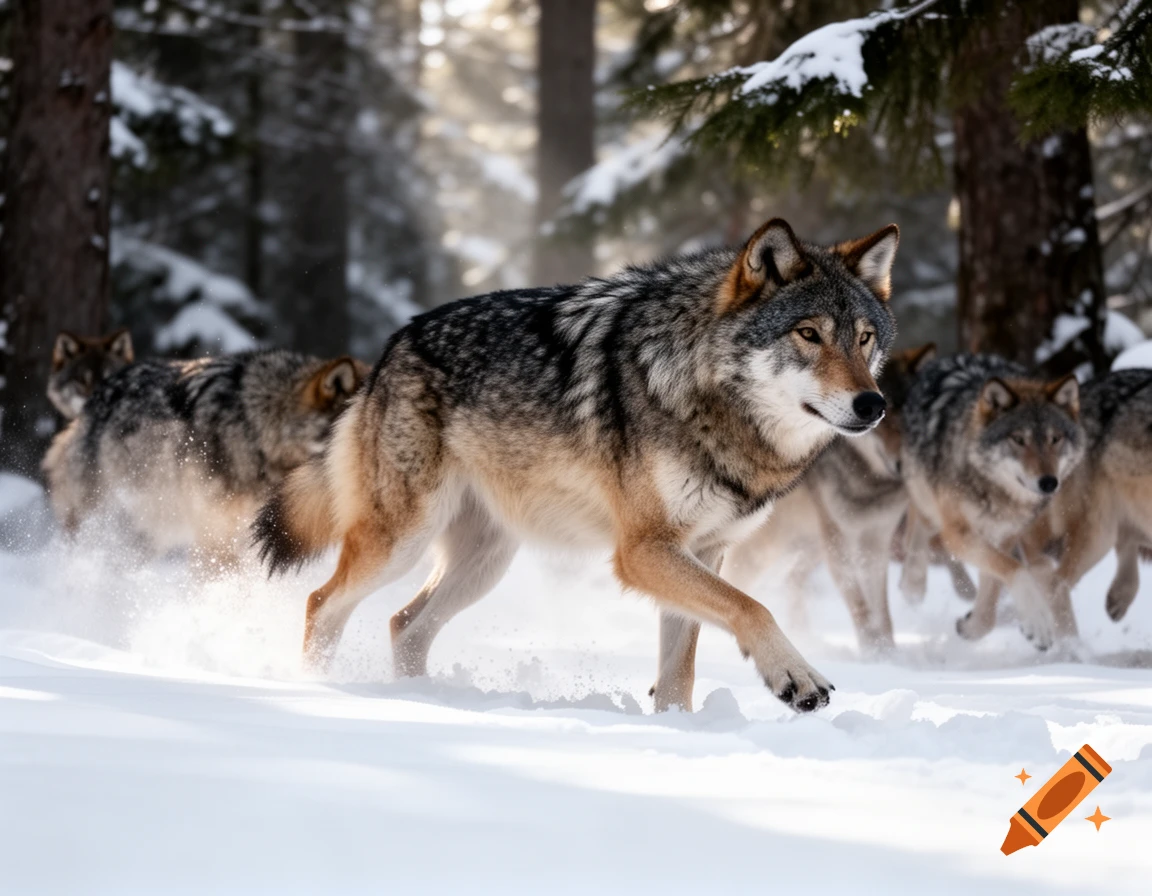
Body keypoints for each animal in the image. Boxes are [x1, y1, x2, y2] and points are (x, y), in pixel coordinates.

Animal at [254, 217, 901, 714]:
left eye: (865, 338)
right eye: (809, 334)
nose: (873, 405)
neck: (704, 392)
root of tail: (390, 349)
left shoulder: (705, 550)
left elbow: (680, 671)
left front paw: (679, 730)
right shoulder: (643, 550)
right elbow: (753, 605)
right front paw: (796, 676)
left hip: (485, 562)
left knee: (403, 625)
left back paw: (422, 699)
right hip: (402, 542)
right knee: (321, 603)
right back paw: (321, 689)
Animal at [722, 343, 975, 652]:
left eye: (907, 418)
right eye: (882, 418)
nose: (903, 464)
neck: (871, 485)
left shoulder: (876, 541)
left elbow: (881, 610)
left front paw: (889, 652)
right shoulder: (840, 542)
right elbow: (859, 605)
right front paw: (872, 654)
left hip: (809, 545)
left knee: (793, 580)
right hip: (768, 549)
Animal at [900, 354, 1085, 649]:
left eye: (1055, 439)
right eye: (1019, 439)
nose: (1049, 482)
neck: (994, 490)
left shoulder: (1003, 536)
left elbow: (991, 600)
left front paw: (971, 626)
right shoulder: (958, 533)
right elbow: (1017, 569)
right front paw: (1038, 622)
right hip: (926, 496)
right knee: (917, 528)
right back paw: (913, 584)